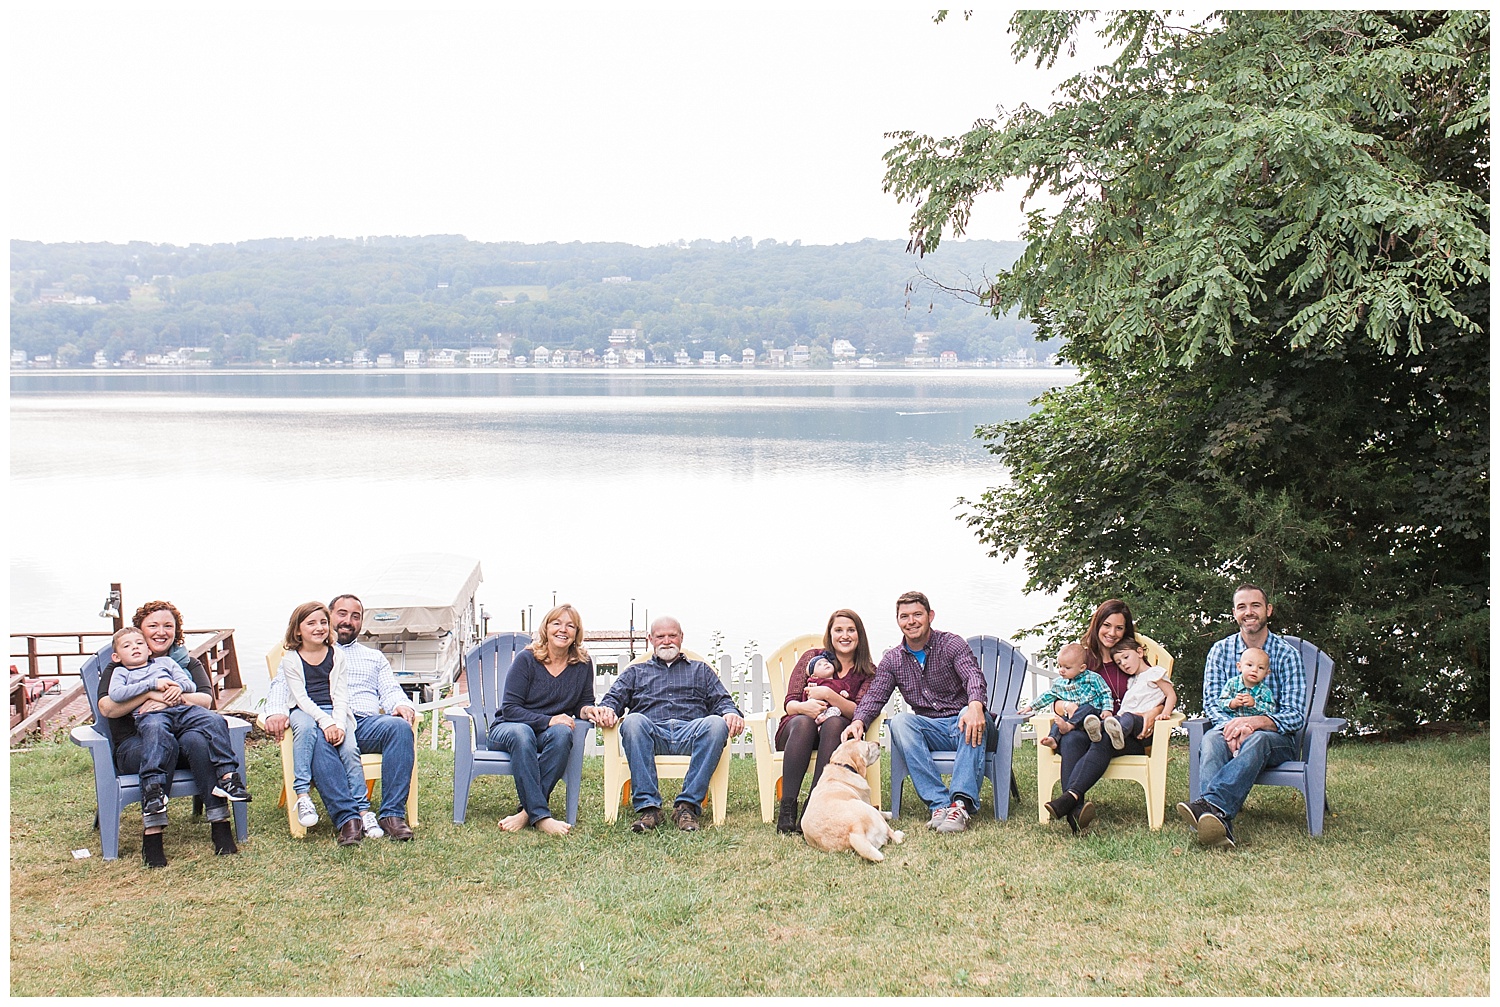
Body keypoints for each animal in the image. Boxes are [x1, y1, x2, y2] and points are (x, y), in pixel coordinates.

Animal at [798, 735, 900, 864]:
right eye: (867, 747)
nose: (878, 743)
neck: (842, 766)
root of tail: (855, 831)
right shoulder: (867, 802)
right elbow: (881, 811)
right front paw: (890, 813)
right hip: (869, 811)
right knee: (893, 835)